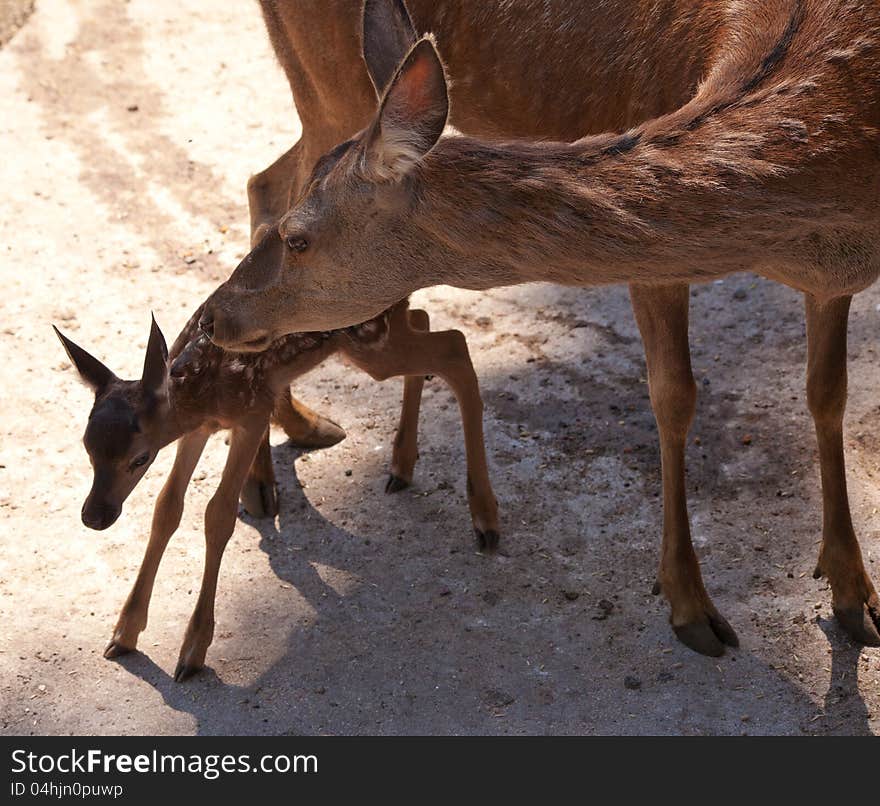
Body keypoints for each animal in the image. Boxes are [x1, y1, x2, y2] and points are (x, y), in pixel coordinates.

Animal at [55, 304, 496, 680]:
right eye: (86, 446)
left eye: (140, 458)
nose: (94, 515)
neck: (204, 391)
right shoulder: (197, 429)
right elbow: (167, 508)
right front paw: (124, 634)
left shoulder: (252, 411)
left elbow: (218, 514)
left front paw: (192, 652)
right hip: (380, 338)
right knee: (425, 321)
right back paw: (402, 466)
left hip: (370, 343)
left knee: (455, 345)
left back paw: (485, 520)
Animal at [203, 0, 880, 652]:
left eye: (300, 240)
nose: (212, 315)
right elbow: (675, 397)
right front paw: (691, 607)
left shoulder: (836, 277)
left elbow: (827, 394)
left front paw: (855, 596)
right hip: (322, 81)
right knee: (267, 180)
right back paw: (266, 475)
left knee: (265, 177)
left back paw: (323, 436)